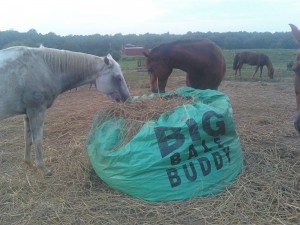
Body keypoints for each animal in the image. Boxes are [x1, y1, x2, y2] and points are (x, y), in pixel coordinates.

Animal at [0, 45, 130, 176]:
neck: (45, 68)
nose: (127, 98)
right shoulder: (36, 111)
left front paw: (29, 164)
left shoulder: (27, 114)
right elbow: (38, 140)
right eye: (118, 78)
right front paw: (43, 168)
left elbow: (28, 139)